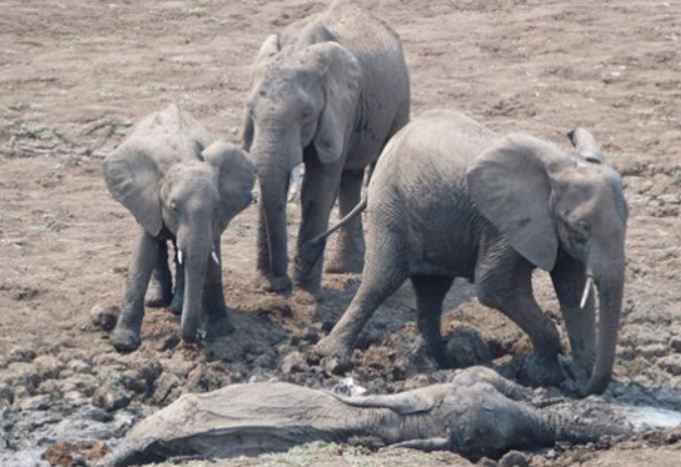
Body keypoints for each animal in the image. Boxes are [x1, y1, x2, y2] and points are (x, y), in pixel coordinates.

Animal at [103, 103, 255, 352]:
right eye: (173, 207)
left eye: (215, 208)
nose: (198, 337)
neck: (182, 157)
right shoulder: (148, 200)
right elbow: (142, 255)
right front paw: (123, 343)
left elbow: (213, 262)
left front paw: (220, 332)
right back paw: (157, 300)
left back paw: (176, 306)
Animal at [243, 0, 410, 296]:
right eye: (250, 110)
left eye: (307, 115)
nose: (281, 282)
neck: (297, 49)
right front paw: (268, 285)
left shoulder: (341, 108)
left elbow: (318, 184)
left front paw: (305, 290)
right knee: (350, 177)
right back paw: (344, 268)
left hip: (400, 97)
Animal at [314, 110, 628, 398]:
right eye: (580, 228)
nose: (580, 387)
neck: (560, 168)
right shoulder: (503, 225)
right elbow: (495, 287)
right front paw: (546, 377)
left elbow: (573, 291)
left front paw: (576, 376)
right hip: (390, 205)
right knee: (382, 281)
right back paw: (332, 358)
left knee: (432, 290)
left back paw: (441, 362)